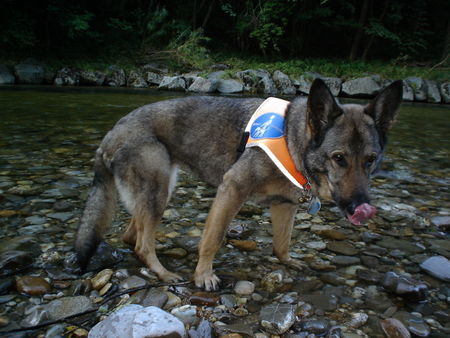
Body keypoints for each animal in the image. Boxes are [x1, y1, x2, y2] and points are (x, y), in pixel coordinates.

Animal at [75, 78, 402, 290]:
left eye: (371, 159)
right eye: (338, 158)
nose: (362, 207)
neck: (292, 140)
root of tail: (111, 134)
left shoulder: (284, 207)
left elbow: (282, 243)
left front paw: (287, 261)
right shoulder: (231, 190)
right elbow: (212, 238)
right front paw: (203, 276)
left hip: (159, 191)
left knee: (132, 235)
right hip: (158, 191)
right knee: (142, 243)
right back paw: (163, 273)